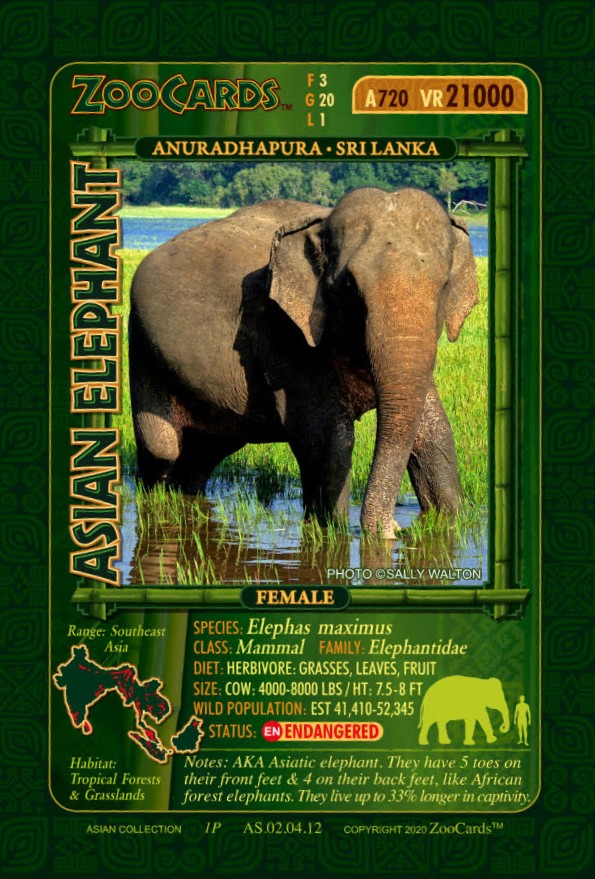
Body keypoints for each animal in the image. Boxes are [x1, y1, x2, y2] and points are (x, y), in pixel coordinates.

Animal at [129, 187, 478, 537]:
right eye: (349, 286)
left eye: (445, 285)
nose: (395, 527)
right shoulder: (286, 335)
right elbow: (327, 440)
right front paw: (333, 529)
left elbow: (435, 435)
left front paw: (448, 519)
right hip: (142, 349)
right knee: (162, 448)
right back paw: (157, 498)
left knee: (207, 449)